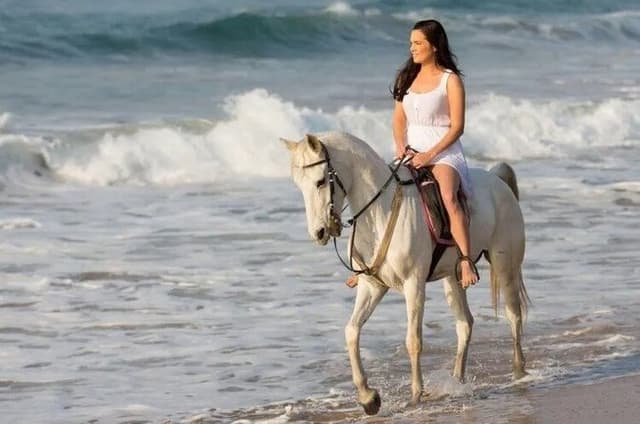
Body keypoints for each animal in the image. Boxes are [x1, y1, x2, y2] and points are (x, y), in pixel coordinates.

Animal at [281, 131, 530, 415]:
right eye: (299, 185)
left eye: (321, 181)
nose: (319, 233)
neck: (380, 212)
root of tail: (497, 181)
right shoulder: (372, 287)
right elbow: (351, 331)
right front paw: (368, 398)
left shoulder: (414, 284)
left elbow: (413, 340)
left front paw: (415, 396)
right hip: (452, 278)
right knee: (465, 324)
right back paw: (457, 381)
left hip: (505, 266)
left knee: (513, 315)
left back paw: (519, 373)